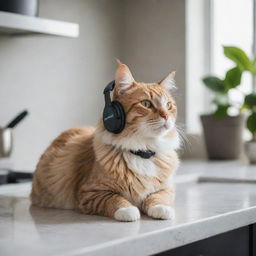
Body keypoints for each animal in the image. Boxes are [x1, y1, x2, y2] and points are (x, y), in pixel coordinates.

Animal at [31, 62, 180, 222]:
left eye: (169, 106)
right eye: (146, 104)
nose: (166, 116)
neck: (142, 152)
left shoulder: (167, 188)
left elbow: (157, 197)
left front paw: (162, 209)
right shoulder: (91, 192)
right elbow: (114, 199)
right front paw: (128, 210)